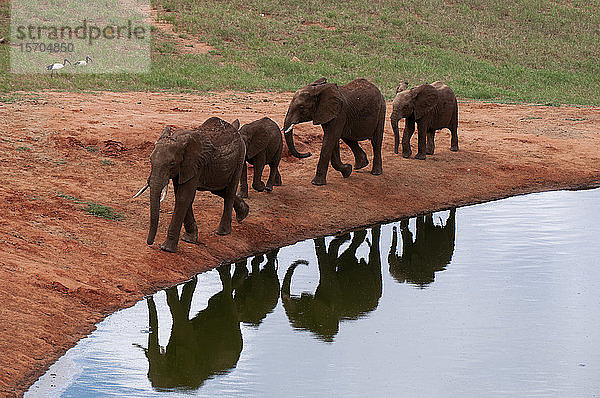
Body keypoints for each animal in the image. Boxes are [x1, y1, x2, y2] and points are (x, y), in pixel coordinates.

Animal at [134, 116, 248, 252]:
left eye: (172, 163)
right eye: (150, 160)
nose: (150, 243)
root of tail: (235, 128)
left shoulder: (195, 164)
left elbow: (183, 198)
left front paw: (167, 248)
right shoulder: (183, 168)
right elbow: (182, 196)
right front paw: (189, 239)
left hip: (240, 156)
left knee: (230, 190)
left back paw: (222, 232)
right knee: (219, 190)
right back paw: (243, 214)